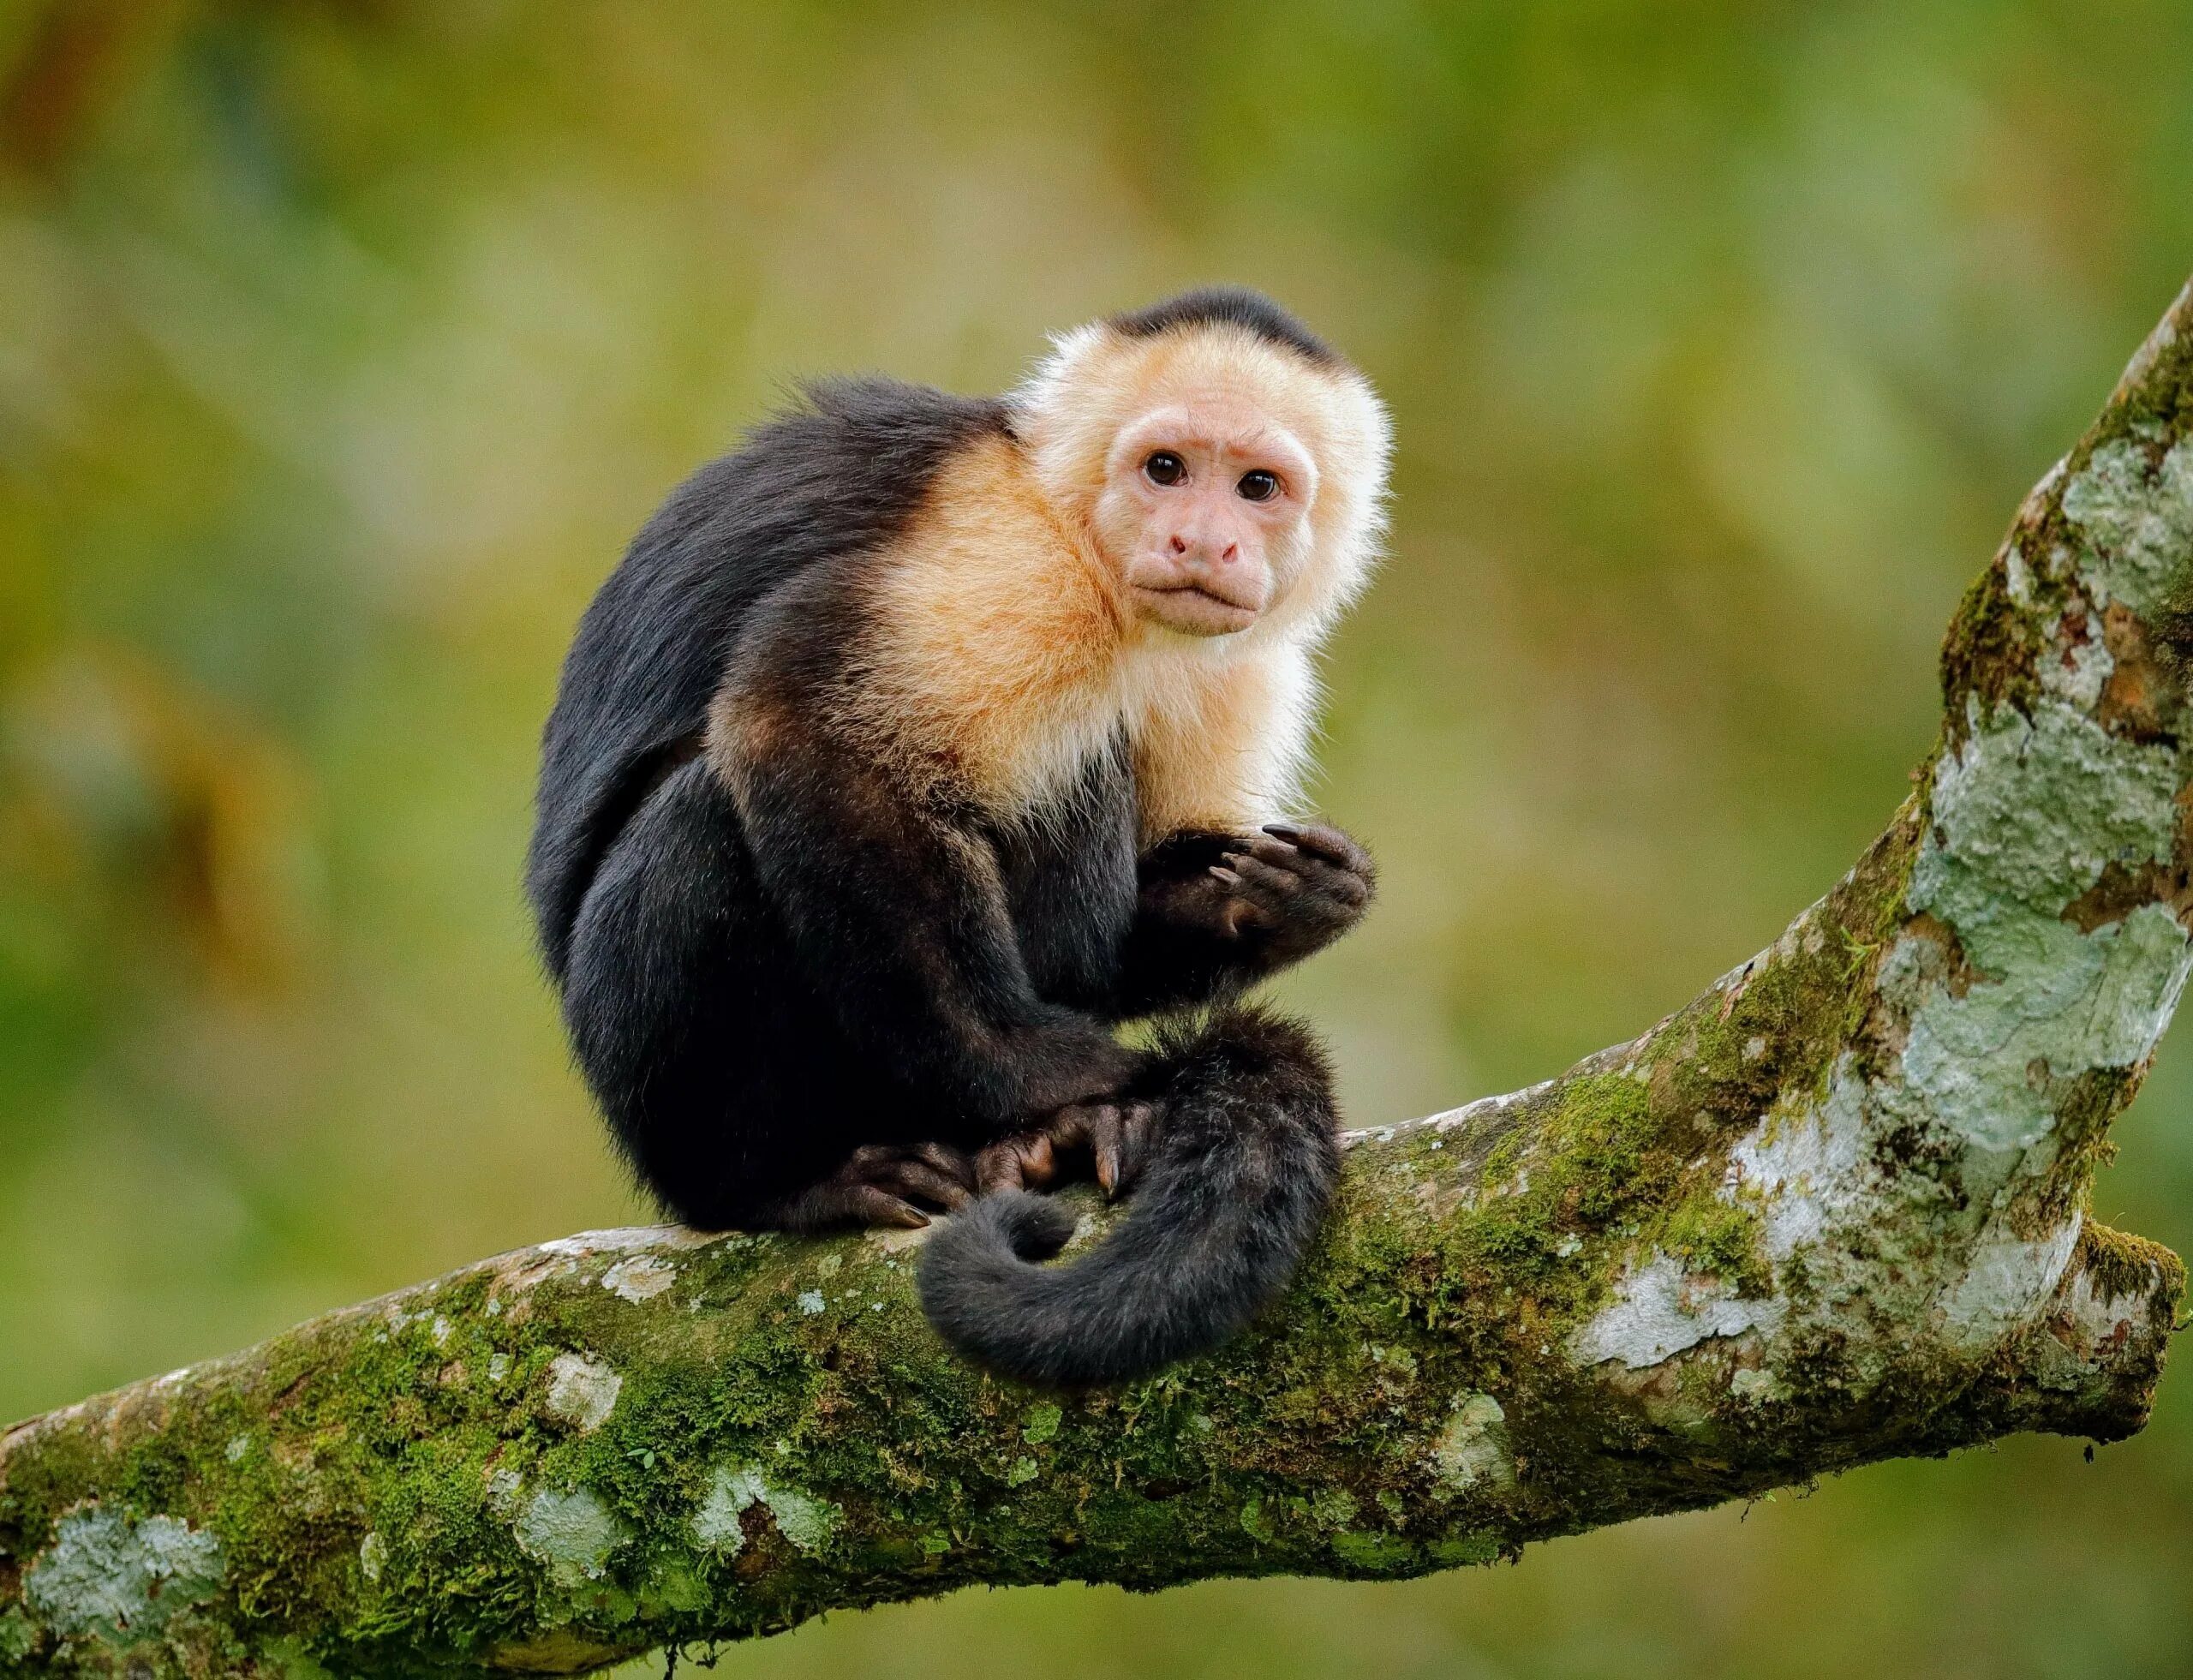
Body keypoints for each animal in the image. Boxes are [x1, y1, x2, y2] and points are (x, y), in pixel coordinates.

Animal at [528, 289, 1385, 1385]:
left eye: (1258, 486)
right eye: (1165, 469)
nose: (1204, 541)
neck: (1087, 553)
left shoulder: (1247, 667)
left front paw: (1281, 904)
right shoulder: (1011, 561)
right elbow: (804, 730)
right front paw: (1055, 1079)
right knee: (710, 815)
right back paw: (783, 1181)